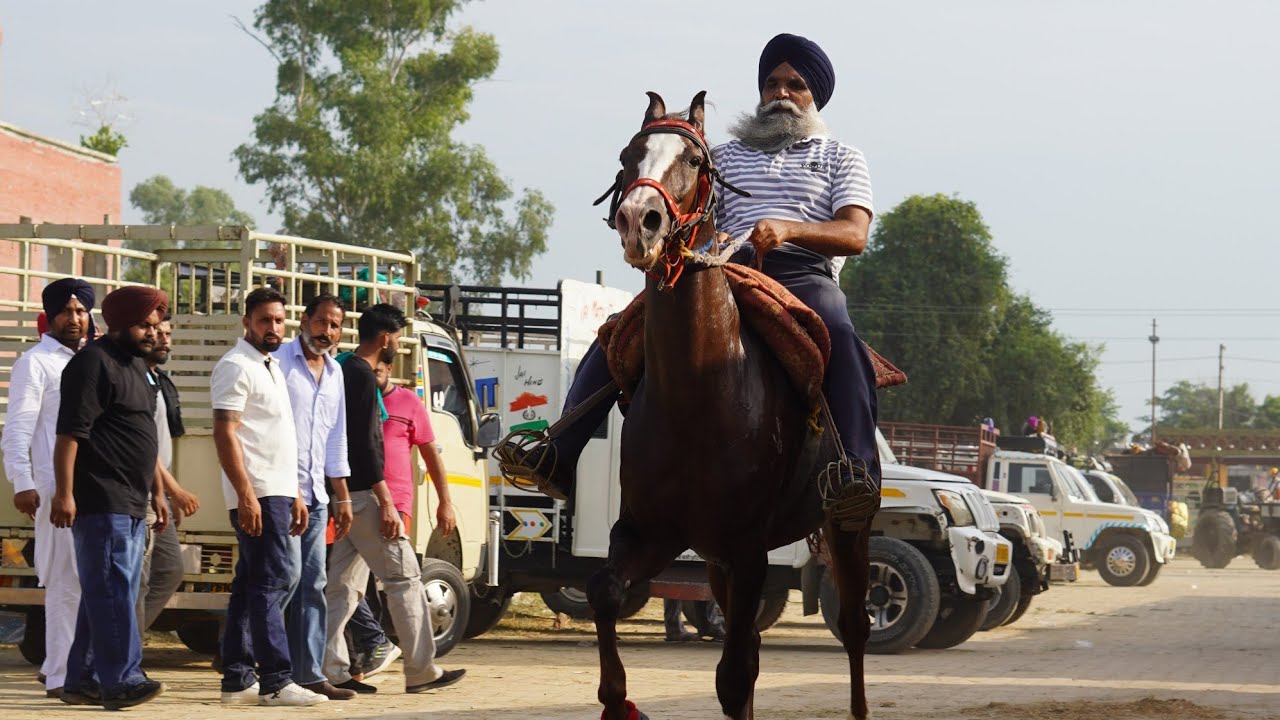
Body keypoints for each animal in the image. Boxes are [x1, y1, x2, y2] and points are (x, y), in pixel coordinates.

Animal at [583, 90, 875, 720]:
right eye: (627, 155)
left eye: (695, 161)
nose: (639, 220)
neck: (700, 394)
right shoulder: (652, 532)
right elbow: (604, 591)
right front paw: (618, 701)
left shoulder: (748, 553)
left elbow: (735, 676)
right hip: (715, 559)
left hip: (845, 527)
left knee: (856, 629)